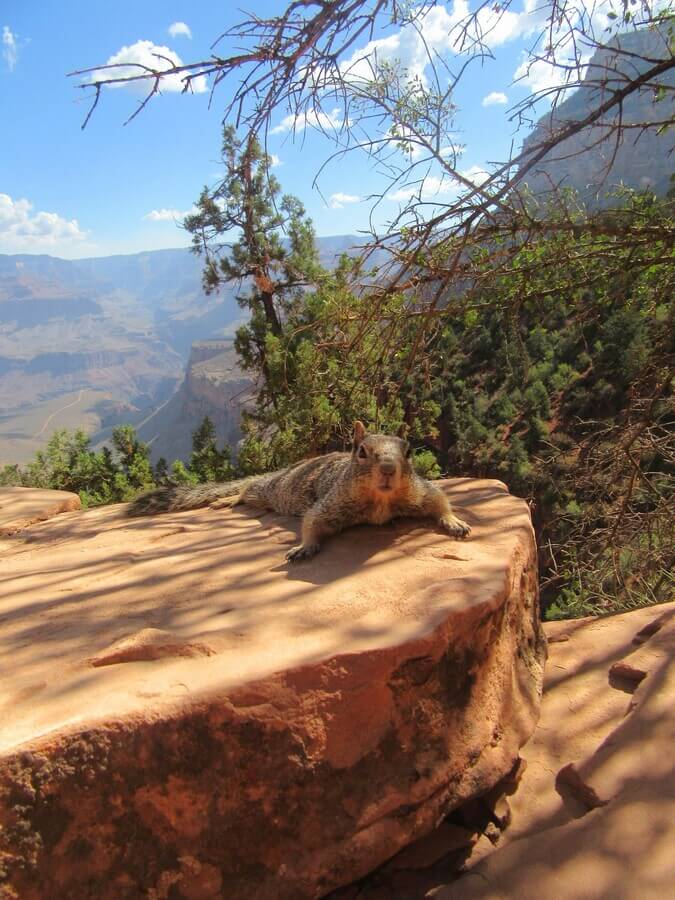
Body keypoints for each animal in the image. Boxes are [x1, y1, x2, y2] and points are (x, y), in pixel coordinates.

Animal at [128, 421, 471, 561]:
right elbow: (312, 522)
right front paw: (303, 548)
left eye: (409, 451)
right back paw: (226, 499)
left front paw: (455, 522)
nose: (388, 468)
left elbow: (439, 499)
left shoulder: (417, 491)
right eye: (361, 452)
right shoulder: (332, 502)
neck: (381, 500)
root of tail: (284, 469)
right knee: (248, 490)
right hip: (275, 490)